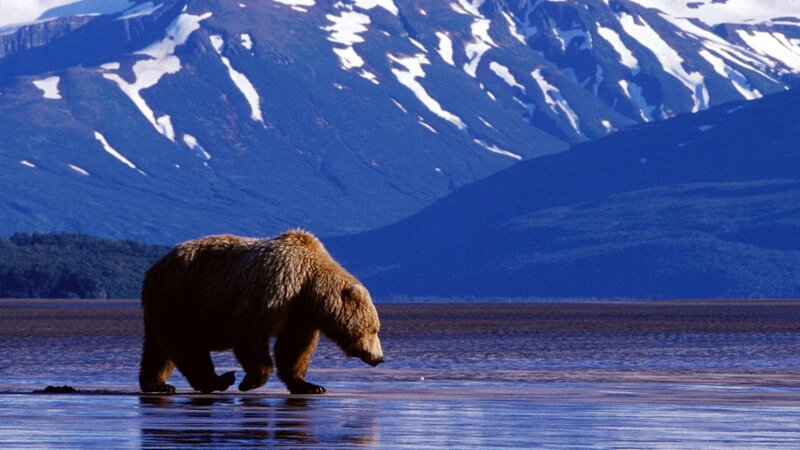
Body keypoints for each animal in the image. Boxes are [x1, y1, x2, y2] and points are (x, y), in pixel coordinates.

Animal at [138, 229, 383, 395]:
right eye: (374, 329)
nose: (379, 358)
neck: (308, 285)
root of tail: (154, 267)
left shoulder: (299, 315)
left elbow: (294, 348)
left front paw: (309, 385)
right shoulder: (275, 288)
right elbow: (248, 329)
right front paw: (250, 381)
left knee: (158, 349)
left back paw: (156, 383)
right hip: (182, 297)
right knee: (186, 343)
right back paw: (217, 380)